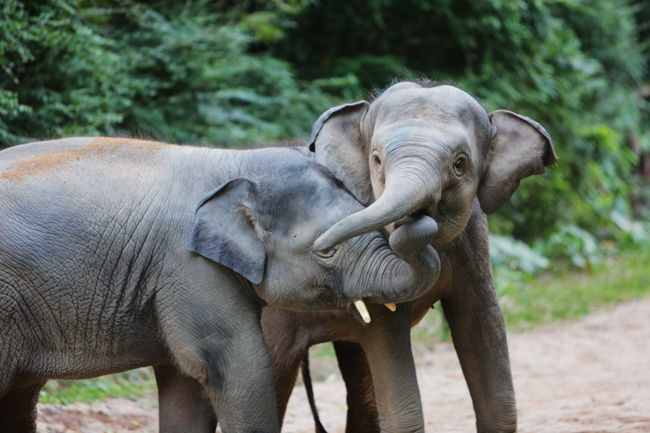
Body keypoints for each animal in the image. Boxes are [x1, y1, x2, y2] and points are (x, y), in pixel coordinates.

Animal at [0, 136, 440, 432]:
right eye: (326, 251)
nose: (425, 212)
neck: (232, 162)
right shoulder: (189, 268)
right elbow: (236, 367)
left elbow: (185, 383)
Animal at [152, 78, 552, 432]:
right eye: (376, 160)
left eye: (460, 164)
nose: (417, 216)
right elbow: (390, 341)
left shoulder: (474, 242)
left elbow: (480, 328)